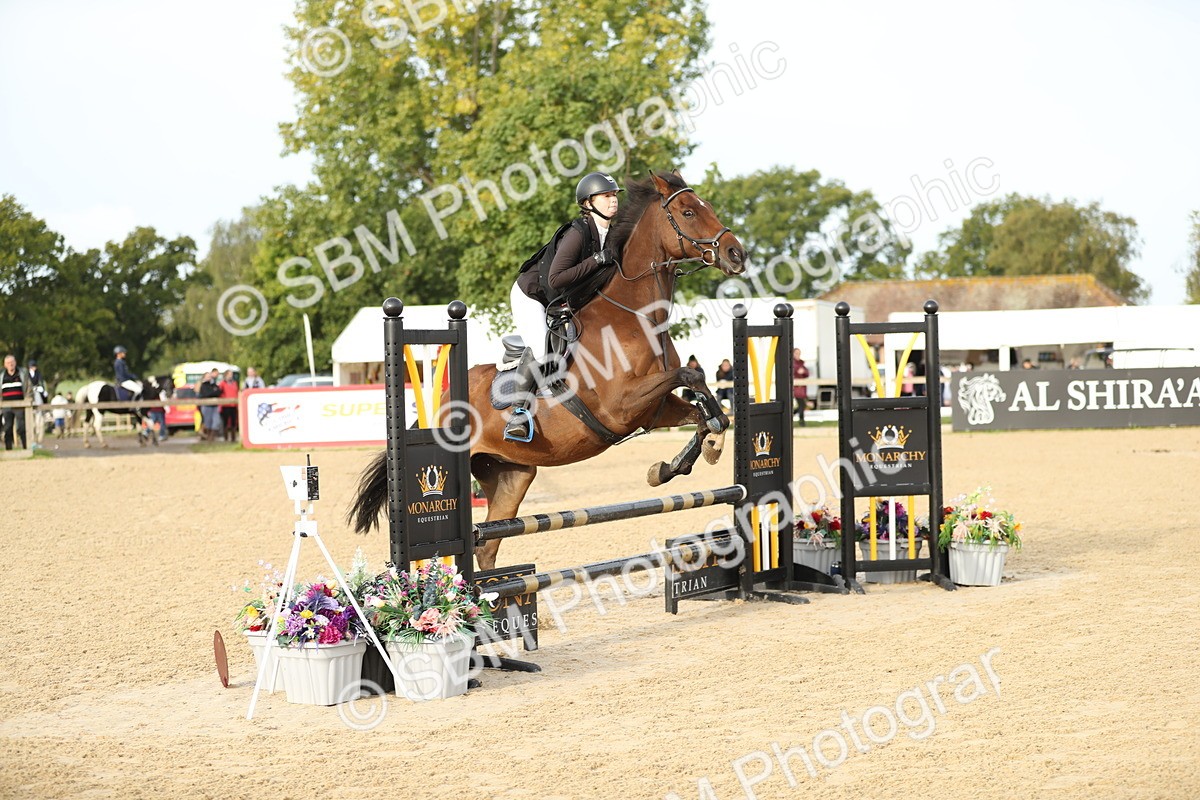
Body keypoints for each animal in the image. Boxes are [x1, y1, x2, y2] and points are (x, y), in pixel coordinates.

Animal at [349, 171, 747, 571]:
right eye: (687, 212)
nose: (737, 255)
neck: (636, 318)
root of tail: (440, 404)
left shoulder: (655, 410)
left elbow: (702, 410)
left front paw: (683, 458)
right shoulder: (622, 405)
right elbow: (690, 376)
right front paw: (701, 443)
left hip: (511, 475)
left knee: (486, 546)